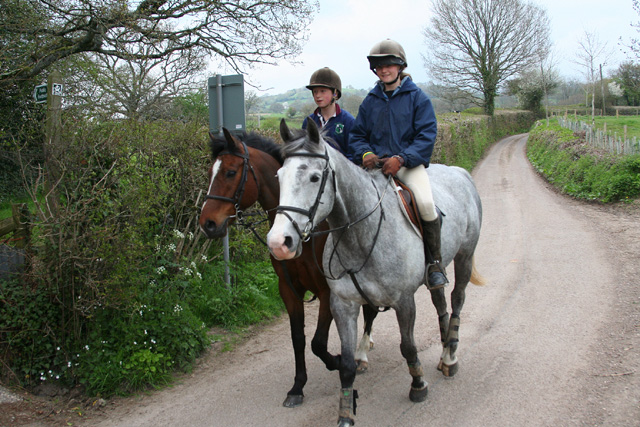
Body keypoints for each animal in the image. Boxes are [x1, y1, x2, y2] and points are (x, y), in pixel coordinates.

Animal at [196, 128, 376, 408]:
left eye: (230, 172)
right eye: (209, 172)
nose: (208, 223)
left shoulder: (327, 291)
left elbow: (317, 342)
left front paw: (337, 361)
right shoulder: (289, 289)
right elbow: (299, 339)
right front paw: (297, 387)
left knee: (370, 313)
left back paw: (362, 354)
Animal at [266, 120, 484, 427]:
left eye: (314, 177)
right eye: (279, 176)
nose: (278, 242)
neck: (359, 234)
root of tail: (460, 173)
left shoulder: (404, 301)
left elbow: (408, 347)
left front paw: (418, 386)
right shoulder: (342, 304)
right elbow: (346, 365)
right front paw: (345, 414)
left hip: (465, 256)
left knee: (457, 300)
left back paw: (451, 355)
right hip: (436, 271)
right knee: (440, 301)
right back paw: (444, 352)